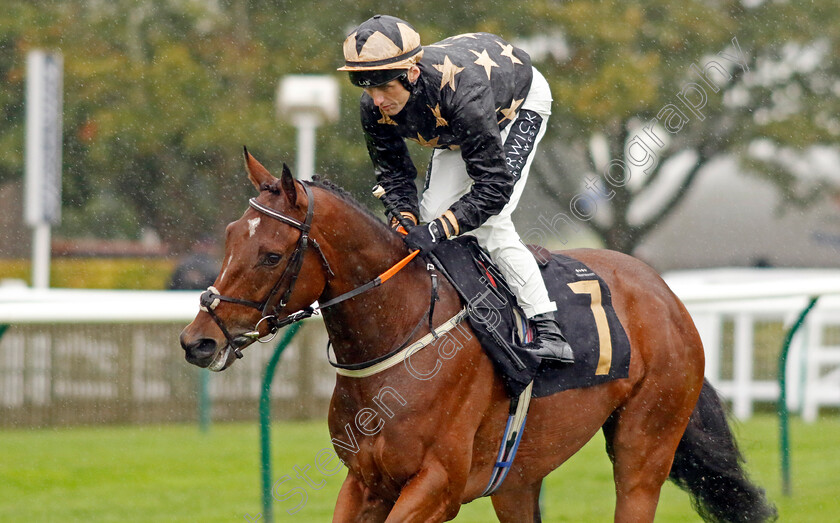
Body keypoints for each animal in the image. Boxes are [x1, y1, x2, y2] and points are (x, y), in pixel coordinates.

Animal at [180, 150, 776, 523]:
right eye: (230, 237)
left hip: (646, 444)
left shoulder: (438, 485)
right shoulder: (365, 481)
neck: (400, 338)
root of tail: (666, 294)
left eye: (270, 254)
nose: (198, 341)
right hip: (518, 475)